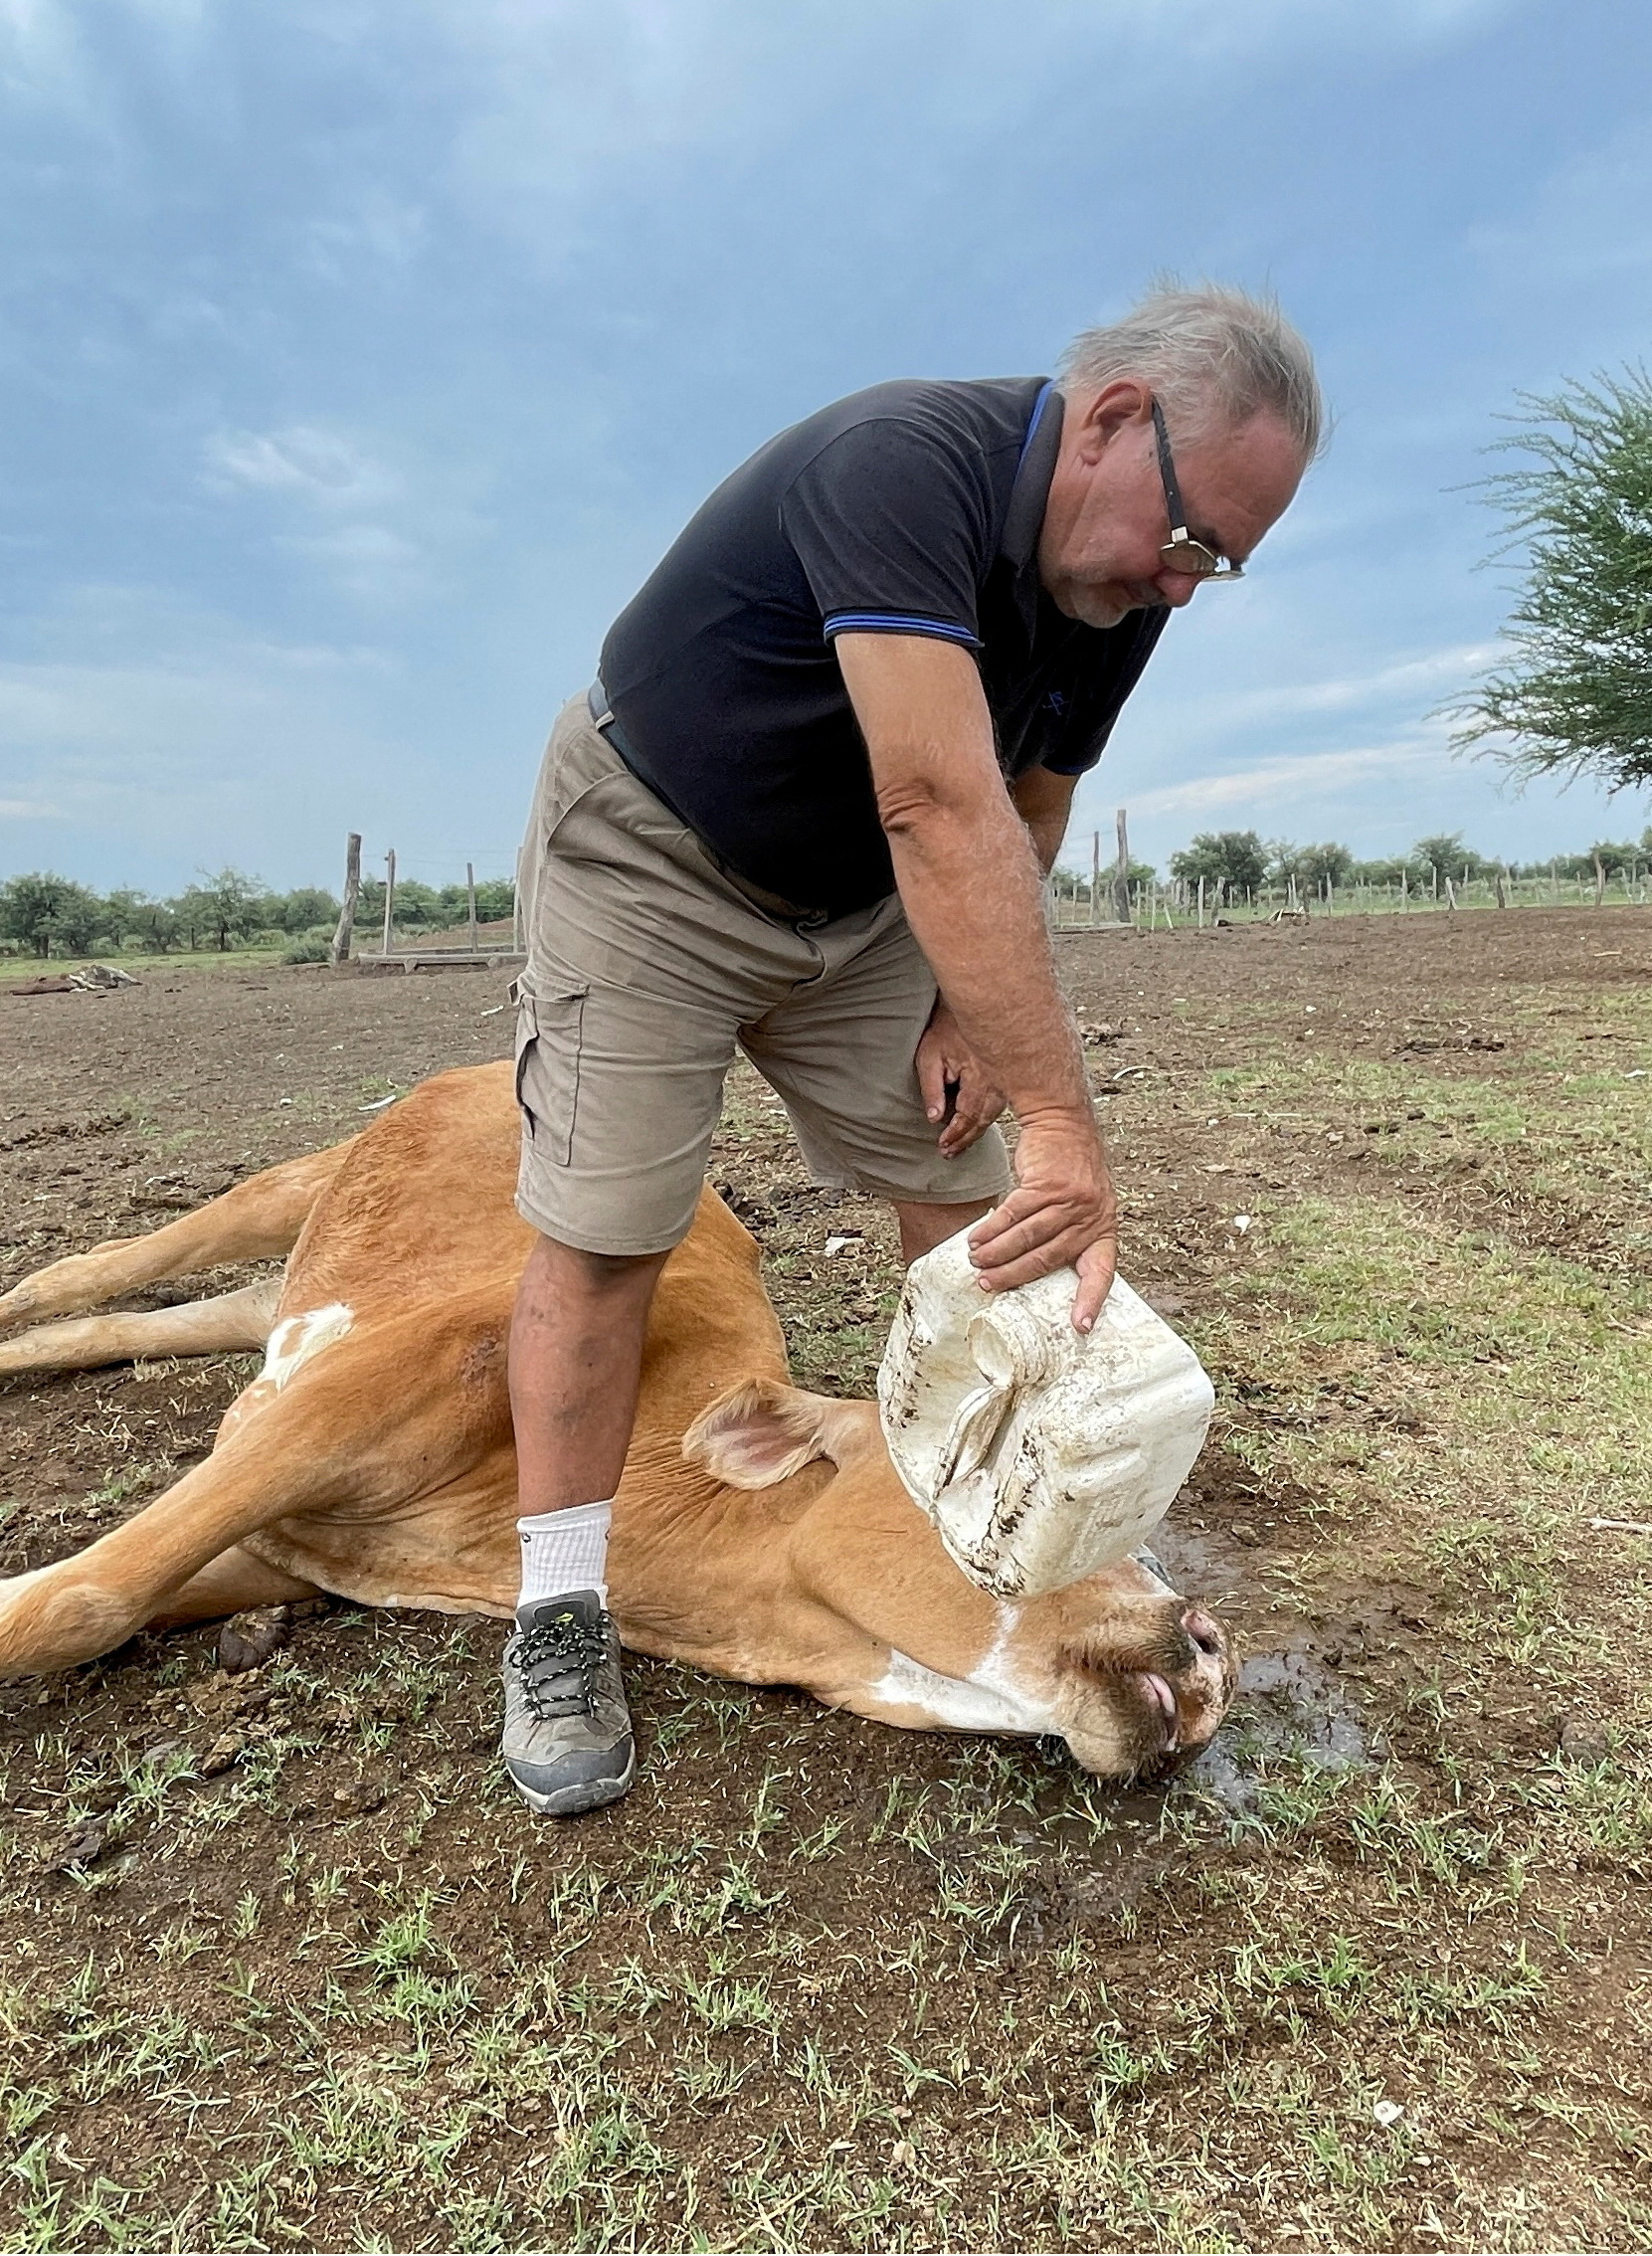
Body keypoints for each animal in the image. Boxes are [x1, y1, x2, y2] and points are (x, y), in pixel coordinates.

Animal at [0, 1062, 1236, 1778]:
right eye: (973, 1478)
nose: (1212, 1646)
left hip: (288, 1288)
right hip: (297, 1182)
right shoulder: (333, 1409)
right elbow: (79, 1604)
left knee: (119, 1323)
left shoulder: (287, 1545)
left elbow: (96, 1595)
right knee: (95, 1267)